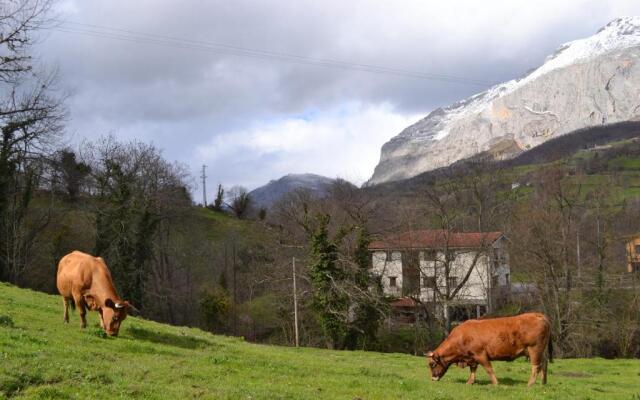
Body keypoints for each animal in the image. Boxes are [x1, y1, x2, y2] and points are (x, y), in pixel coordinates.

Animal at [424, 314, 552, 386]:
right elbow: (473, 370)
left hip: (534, 349)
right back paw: (543, 382)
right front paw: (470, 382)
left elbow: (489, 369)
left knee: (536, 366)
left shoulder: (480, 354)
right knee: (544, 363)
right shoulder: (472, 357)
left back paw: (530, 384)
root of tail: (537, 314)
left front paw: (495, 383)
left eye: (432, 364)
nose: (432, 378)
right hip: (540, 351)